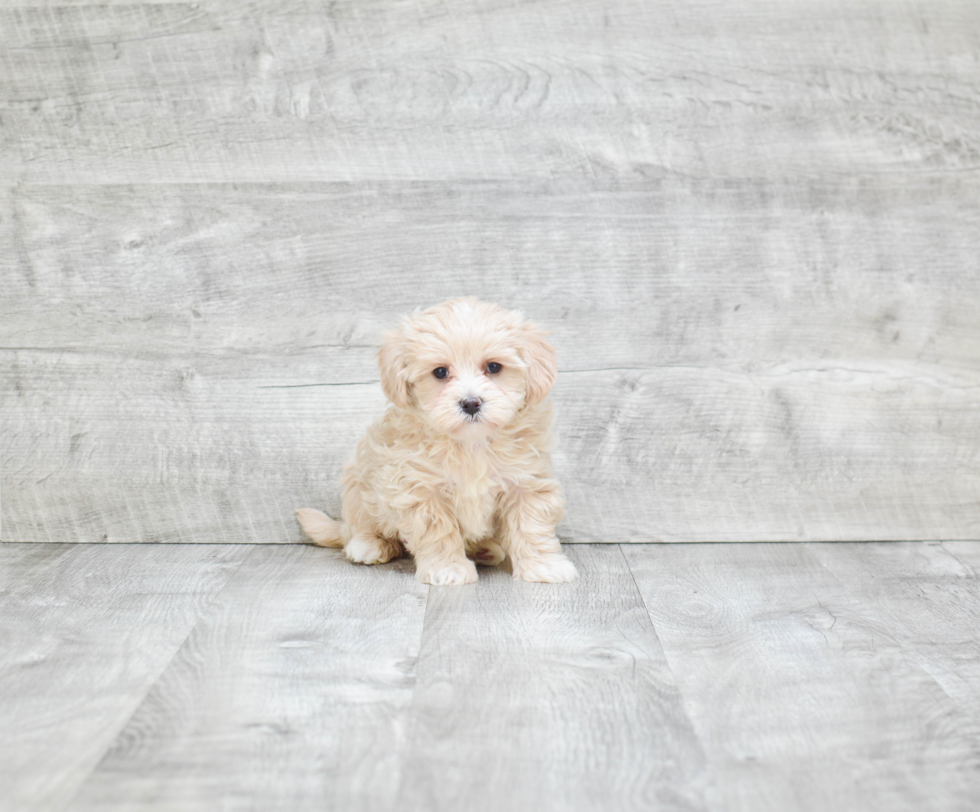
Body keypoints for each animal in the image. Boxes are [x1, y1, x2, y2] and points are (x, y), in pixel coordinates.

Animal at [294, 296, 580, 584]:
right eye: (440, 372)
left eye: (493, 367)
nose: (470, 403)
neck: (471, 443)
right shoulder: (418, 489)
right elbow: (438, 531)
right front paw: (448, 568)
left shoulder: (527, 482)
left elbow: (531, 526)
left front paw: (544, 565)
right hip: (358, 484)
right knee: (359, 526)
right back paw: (368, 544)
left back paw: (485, 550)